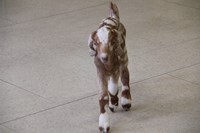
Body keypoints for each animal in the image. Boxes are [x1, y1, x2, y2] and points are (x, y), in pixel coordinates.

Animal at [87, 1, 131, 132]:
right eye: (96, 43)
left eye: (111, 42)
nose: (104, 57)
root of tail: (113, 17)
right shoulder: (100, 71)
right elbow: (103, 97)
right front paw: (104, 124)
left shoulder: (117, 65)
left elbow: (116, 84)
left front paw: (117, 102)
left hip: (124, 56)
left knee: (125, 76)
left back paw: (125, 102)